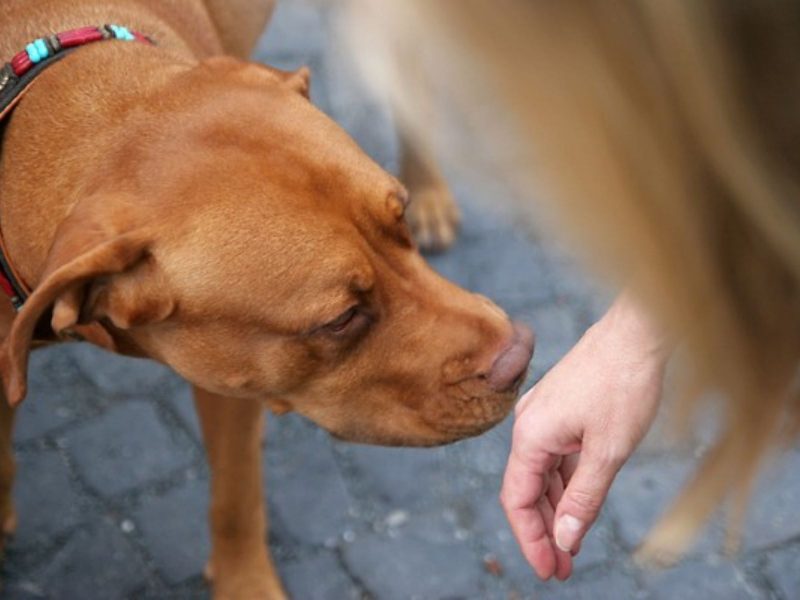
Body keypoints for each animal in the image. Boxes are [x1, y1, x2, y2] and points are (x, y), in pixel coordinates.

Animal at [0, 2, 536, 596]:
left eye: (400, 221)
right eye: (341, 318)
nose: (521, 357)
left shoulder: (234, 389)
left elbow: (237, 496)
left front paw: (245, 582)